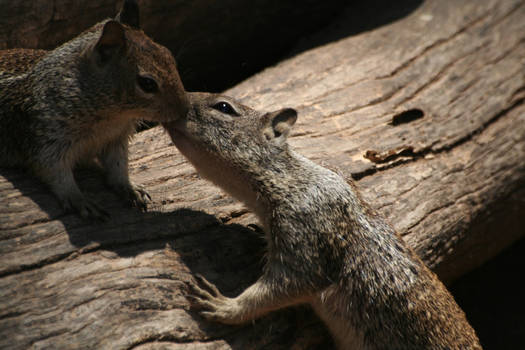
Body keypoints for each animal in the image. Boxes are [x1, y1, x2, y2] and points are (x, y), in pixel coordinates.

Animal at [0, 0, 188, 219]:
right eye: (147, 83)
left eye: (169, 55)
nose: (184, 109)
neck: (112, 117)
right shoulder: (47, 142)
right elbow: (57, 175)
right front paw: (79, 200)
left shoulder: (116, 140)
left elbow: (118, 167)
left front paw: (130, 188)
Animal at [164, 93, 484, 350]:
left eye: (224, 107)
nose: (176, 105)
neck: (292, 178)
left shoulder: (306, 242)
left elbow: (280, 289)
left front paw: (225, 306)